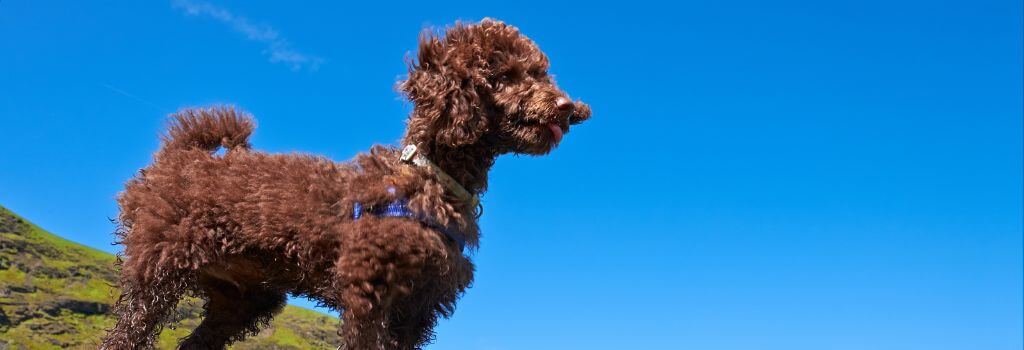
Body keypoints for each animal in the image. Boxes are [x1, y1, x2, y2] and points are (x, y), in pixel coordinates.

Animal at [101, 19, 593, 350]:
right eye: (504, 76)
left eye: (541, 72)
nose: (567, 106)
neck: (431, 176)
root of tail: (181, 156)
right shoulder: (368, 292)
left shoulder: (417, 310)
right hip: (158, 269)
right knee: (126, 335)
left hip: (241, 300)